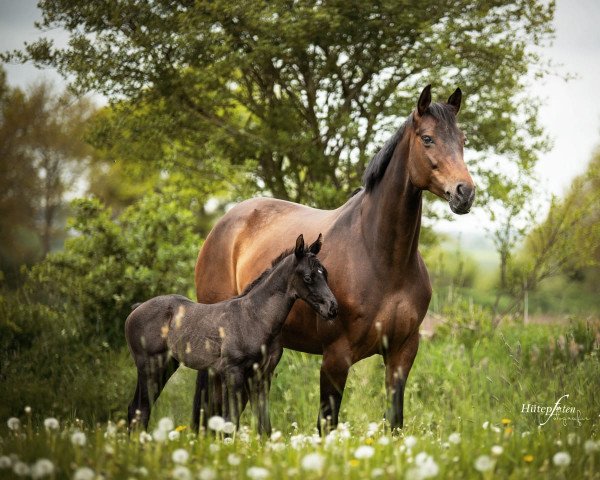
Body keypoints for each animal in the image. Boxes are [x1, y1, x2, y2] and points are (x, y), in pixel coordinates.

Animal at [125, 233, 338, 436]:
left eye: (325, 274)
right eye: (308, 277)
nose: (333, 308)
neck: (255, 317)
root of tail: (136, 309)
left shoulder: (261, 376)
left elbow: (264, 426)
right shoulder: (234, 372)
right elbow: (230, 421)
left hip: (167, 365)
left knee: (136, 409)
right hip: (149, 366)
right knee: (140, 409)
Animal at [192, 85, 474, 432]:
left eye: (462, 140)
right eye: (427, 138)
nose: (465, 193)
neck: (381, 260)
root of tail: (224, 224)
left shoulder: (402, 352)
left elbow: (394, 421)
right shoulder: (335, 358)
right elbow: (327, 424)